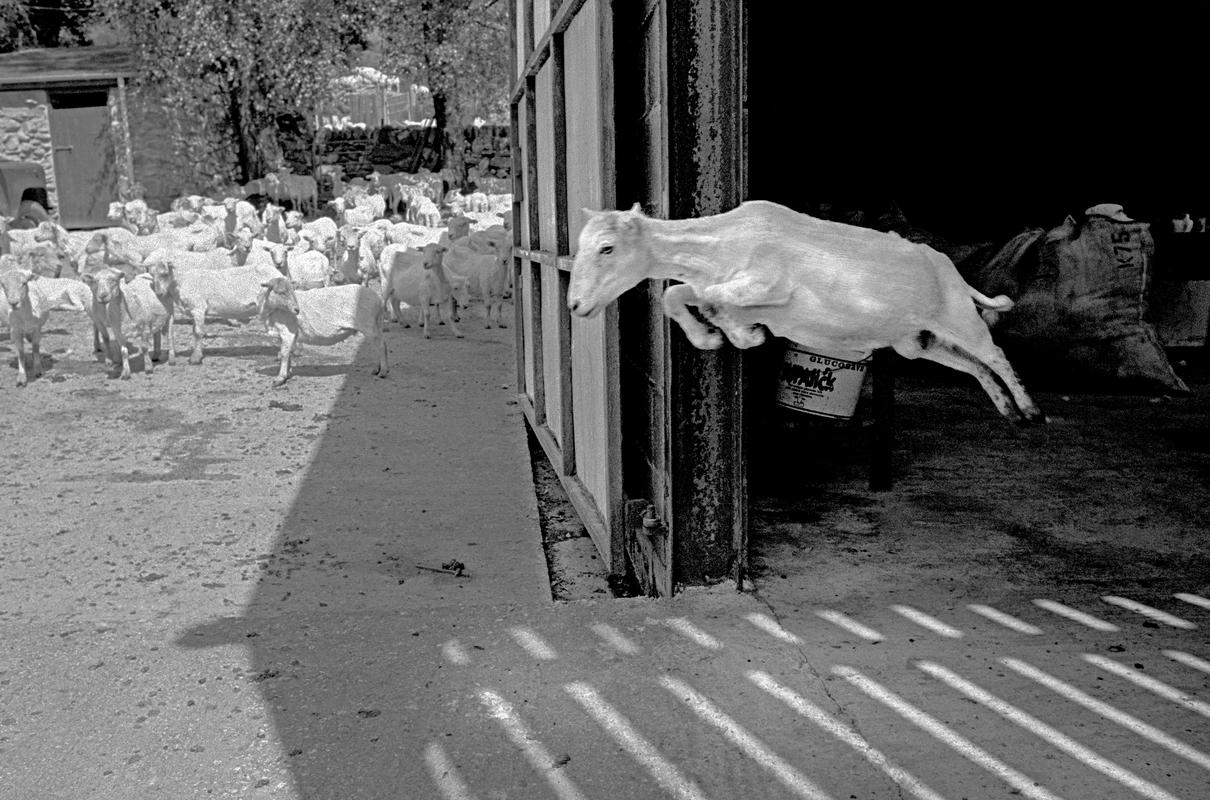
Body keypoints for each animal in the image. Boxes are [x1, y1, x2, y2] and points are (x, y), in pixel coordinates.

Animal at [148, 257, 280, 363]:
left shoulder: (198, 308)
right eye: (152, 275)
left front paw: (195, 358)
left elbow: (198, 332)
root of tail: (278, 273)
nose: (159, 293)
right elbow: (194, 331)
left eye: (165, 274)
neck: (182, 281)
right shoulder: (194, 311)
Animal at [255, 275, 387, 384]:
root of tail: (378, 300)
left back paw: (383, 372)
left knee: (380, 345)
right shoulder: (285, 334)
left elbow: (284, 354)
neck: (272, 311)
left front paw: (280, 378)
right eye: (281, 292)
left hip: (368, 325)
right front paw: (287, 373)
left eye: (292, 291)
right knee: (377, 344)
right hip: (374, 324)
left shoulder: (288, 331)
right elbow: (288, 353)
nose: (297, 310)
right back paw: (376, 369)